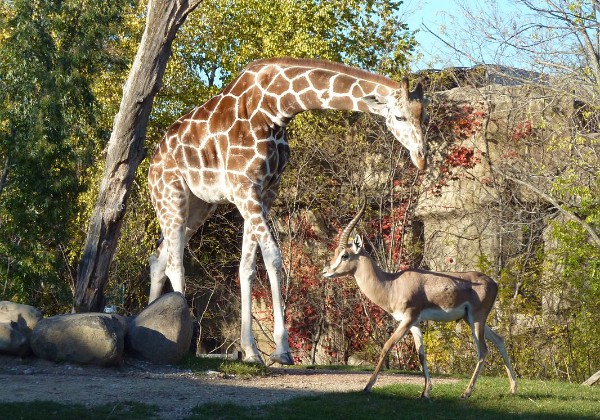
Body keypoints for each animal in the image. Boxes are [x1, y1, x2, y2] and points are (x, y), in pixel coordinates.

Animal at [146, 56, 426, 364]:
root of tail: (153, 160)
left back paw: (149, 321)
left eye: (424, 116)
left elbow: (247, 268)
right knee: (175, 263)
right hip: (172, 197)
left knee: (158, 258)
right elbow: (274, 259)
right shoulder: (245, 189)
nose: (422, 159)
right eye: (399, 117)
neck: (276, 107)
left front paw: (251, 351)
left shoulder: (264, 192)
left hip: (200, 206)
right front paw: (282, 350)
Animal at [324, 202, 516, 398]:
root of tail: (494, 283)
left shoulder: (408, 319)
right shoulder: (415, 323)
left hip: (476, 319)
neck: (392, 285)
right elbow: (421, 354)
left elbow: (387, 346)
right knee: (499, 340)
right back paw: (513, 388)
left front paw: (368, 386)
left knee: (483, 350)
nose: (326, 272)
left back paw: (466, 392)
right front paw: (425, 392)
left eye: (345, 255)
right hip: (470, 319)